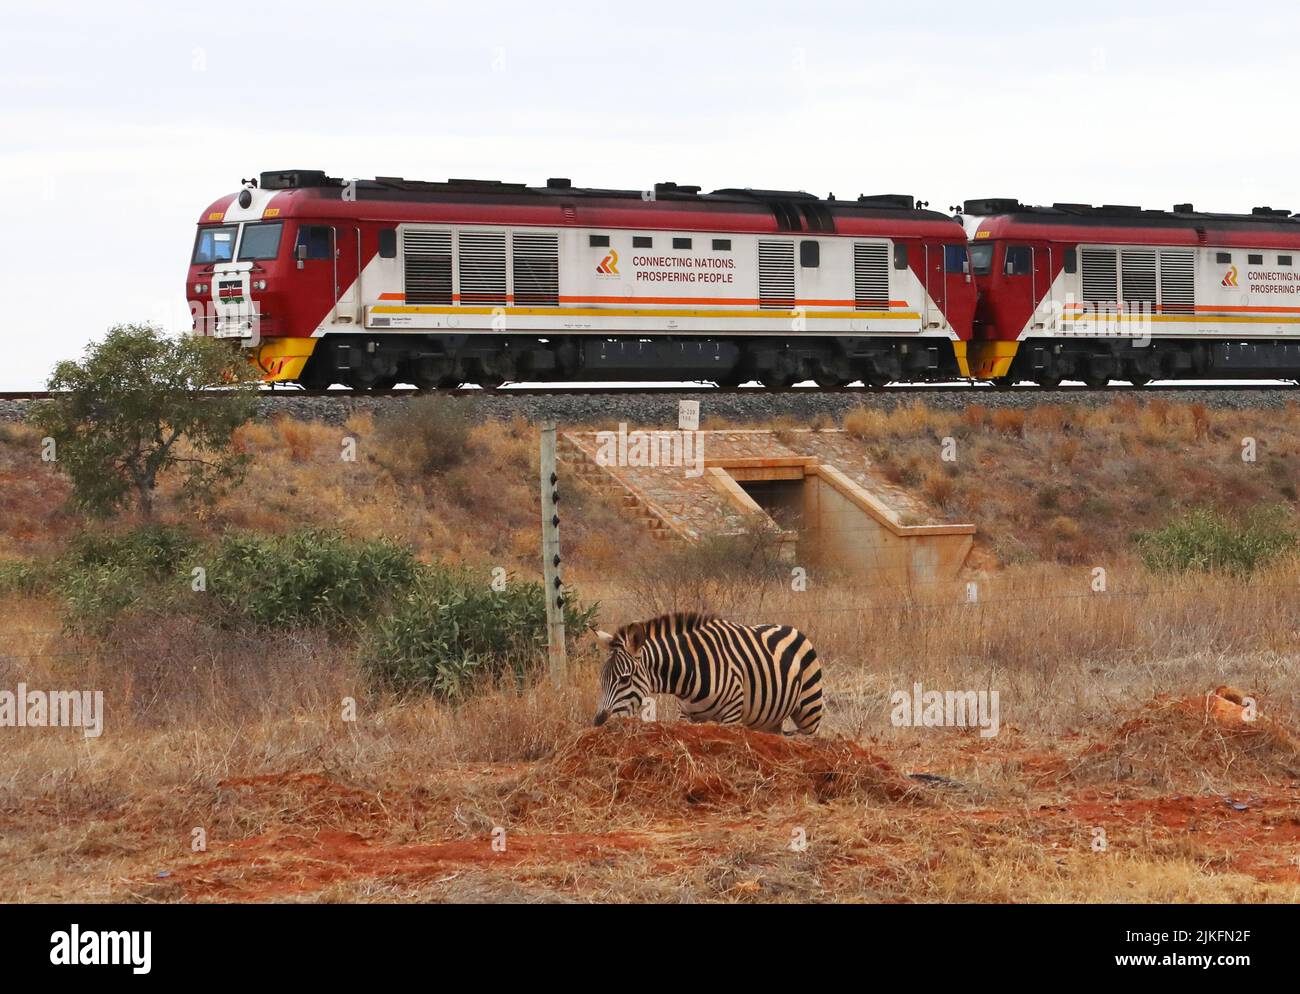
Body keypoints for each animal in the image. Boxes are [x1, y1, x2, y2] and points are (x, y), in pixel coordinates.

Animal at [592, 608, 821, 732]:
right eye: (601, 680)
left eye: (624, 679)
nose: (598, 723)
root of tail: (791, 627)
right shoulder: (686, 715)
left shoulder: (731, 714)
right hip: (770, 719)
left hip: (809, 710)